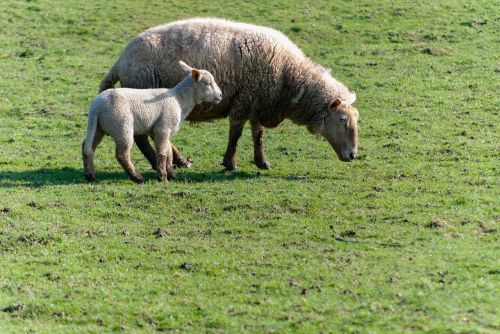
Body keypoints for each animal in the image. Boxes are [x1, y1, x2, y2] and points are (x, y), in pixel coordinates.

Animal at [82, 61, 223, 184]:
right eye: (208, 83)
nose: (221, 96)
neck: (180, 99)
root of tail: (96, 106)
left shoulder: (165, 130)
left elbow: (169, 153)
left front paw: (172, 175)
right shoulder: (163, 128)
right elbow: (162, 153)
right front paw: (163, 177)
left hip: (98, 127)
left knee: (87, 147)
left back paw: (90, 175)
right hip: (121, 126)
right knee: (122, 155)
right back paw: (137, 177)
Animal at [100, 17, 360, 171]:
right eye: (342, 119)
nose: (353, 155)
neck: (289, 76)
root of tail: (120, 61)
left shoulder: (259, 101)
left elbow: (258, 135)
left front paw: (262, 162)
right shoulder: (244, 101)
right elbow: (235, 135)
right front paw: (230, 163)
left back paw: (178, 160)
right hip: (143, 96)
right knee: (143, 137)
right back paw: (159, 163)